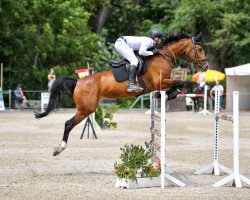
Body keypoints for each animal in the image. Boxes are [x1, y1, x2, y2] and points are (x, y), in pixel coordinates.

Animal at [34, 32, 208, 156]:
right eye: (199, 49)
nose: (206, 67)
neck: (163, 57)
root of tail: (78, 82)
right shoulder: (159, 82)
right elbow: (179, 83)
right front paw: (166, 95)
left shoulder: (161, 83)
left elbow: (176, 85)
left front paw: (164, 96)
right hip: (86, 109)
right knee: (68, 124)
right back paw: (59, 149)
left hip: (86, 108)